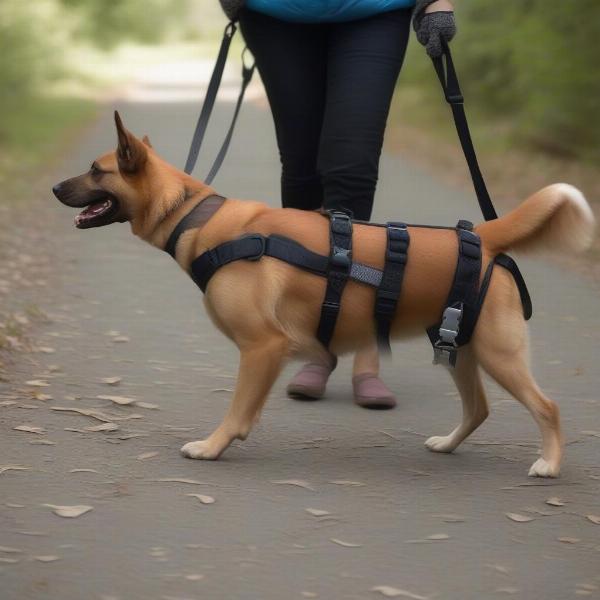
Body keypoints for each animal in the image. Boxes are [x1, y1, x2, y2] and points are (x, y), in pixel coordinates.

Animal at [52, 111, 596, 478]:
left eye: (97, 169)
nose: (55, 188)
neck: (196, 215)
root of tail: (483, 237)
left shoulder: (262, 347)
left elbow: (237, 410)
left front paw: (212, 446)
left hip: (498, 354)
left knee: (547, 407)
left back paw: (549, 464)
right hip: (462, 351)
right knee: (478, 409)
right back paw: (447, 445)